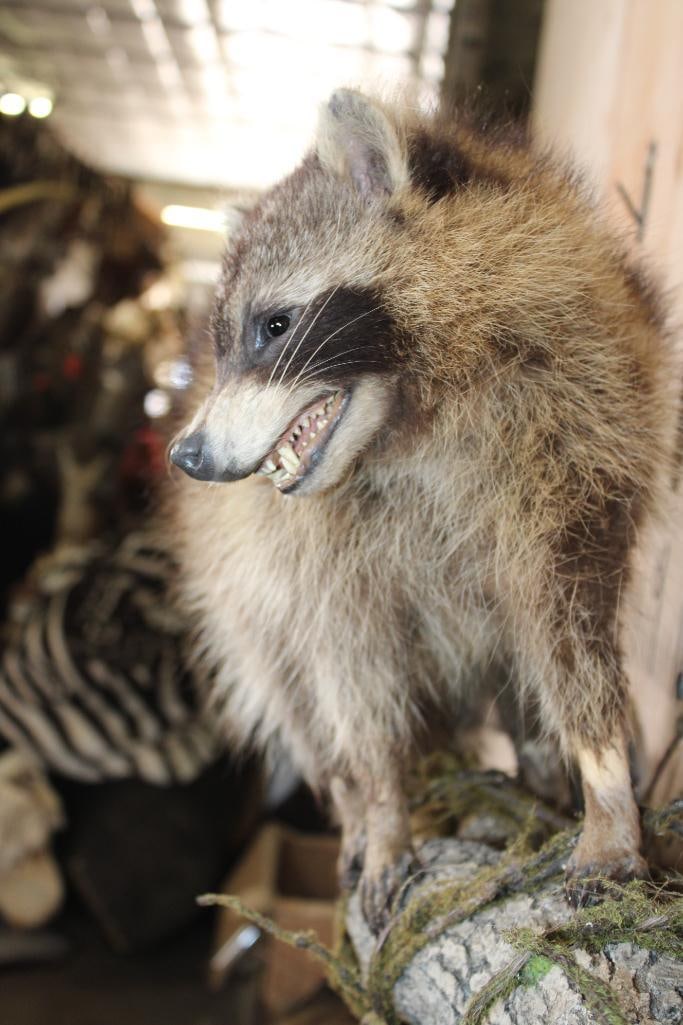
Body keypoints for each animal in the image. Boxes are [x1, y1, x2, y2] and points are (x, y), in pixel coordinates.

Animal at [169, 90, 681, 930]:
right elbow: (351, 672)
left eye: (274, 326)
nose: (186, 456)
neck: (413, 416)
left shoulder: (584, 419)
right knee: (295, 699)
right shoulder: (307, 552)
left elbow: (569, 621)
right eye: (219, 344)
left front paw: (603, 787)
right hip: (241, 609)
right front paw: (382, 813)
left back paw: (538, 781)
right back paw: (350, 805)